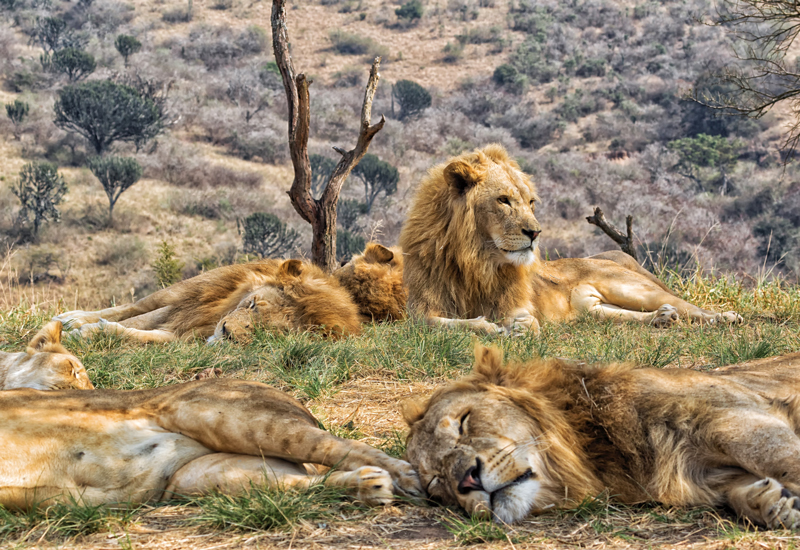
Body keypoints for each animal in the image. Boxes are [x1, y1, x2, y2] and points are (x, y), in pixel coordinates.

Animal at [0, 378, 422, 510]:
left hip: (227, 415)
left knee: (343, 447)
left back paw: (410, 479)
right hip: (208, 477)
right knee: (301, 486)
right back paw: (369, 487)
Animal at [55, 259, 362, 344]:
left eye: (269, 331)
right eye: (252, 304)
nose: (226, 332)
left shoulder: (179, 336)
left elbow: (132, 331)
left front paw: (86, 334)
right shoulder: (184, 307)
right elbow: (134, 316)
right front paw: (78, 329)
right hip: (188, 288)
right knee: (134, 305)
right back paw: (69, 317)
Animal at [399, 144, 740, 334]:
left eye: (531, 202)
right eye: (504, 200)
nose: (535, 233)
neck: (475, 261)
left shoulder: (516, 302)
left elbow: (523, 319)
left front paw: (517, 328)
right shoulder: (420, 309)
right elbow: (433, 324)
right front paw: (487, 326)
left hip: (633, 288)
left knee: (692, 308)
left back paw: (724, 318)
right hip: (594, 311)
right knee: (627, 316)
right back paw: (662, 319)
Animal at [404, 345, 800, 528]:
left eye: (464, 422)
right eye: (437, 483)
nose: (467, 481)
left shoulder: (736, 414)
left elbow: (781, 459)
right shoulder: (702, 474)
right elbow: (741, 491)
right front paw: (773, 503)